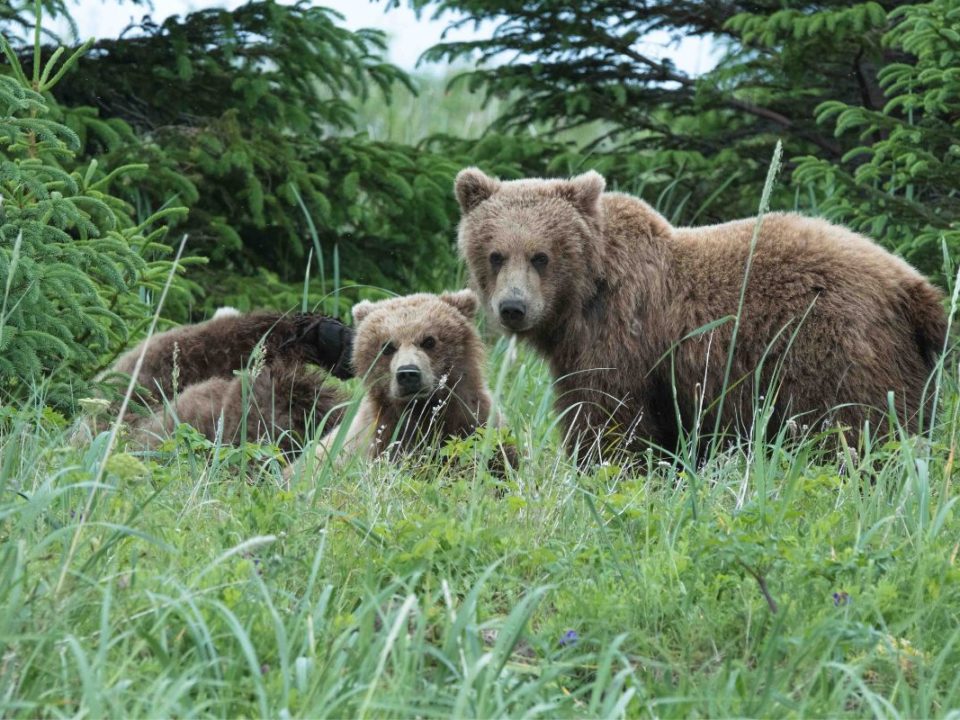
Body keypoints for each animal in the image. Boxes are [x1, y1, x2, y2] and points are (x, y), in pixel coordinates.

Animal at [312, 292, 502, 464]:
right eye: (387, 347)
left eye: (429, 341)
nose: (408, 373)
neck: (421, 408)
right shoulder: (381, 435)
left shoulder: (475, 419)